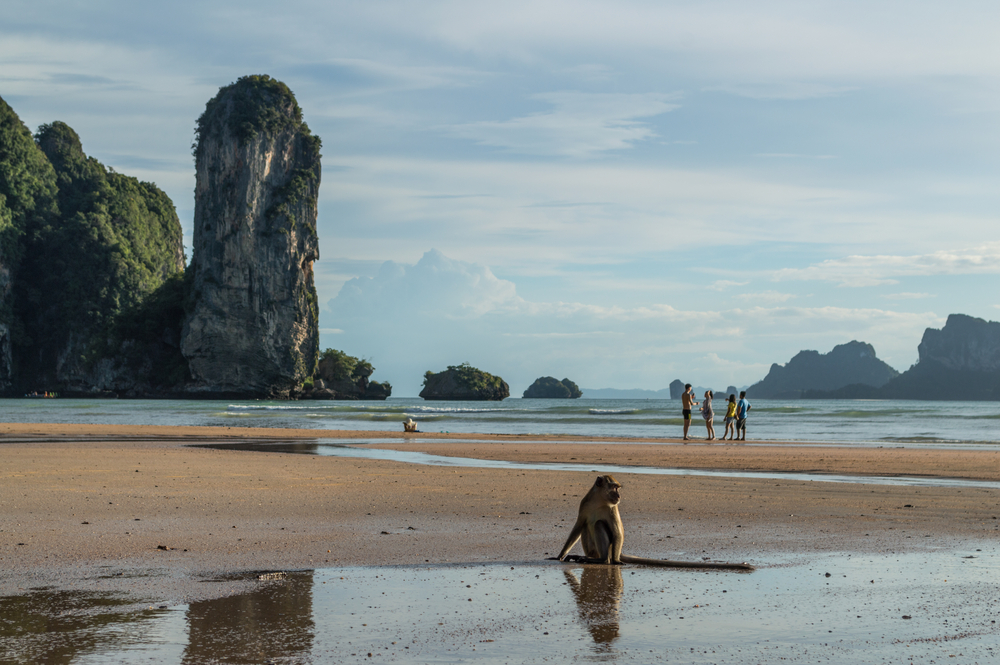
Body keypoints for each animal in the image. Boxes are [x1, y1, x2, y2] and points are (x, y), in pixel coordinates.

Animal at [554, 474, 754, 571]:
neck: (599, 501)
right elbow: (578, 526)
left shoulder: (613, 508)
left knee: (598, 526)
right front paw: (560, 555)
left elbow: (618, 533)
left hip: (610, 549)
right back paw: (591, 558)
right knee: (588, 526)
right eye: (614, 488)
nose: (619, 496)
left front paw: (617, 562)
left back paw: (603, 560)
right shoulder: (585, 504)